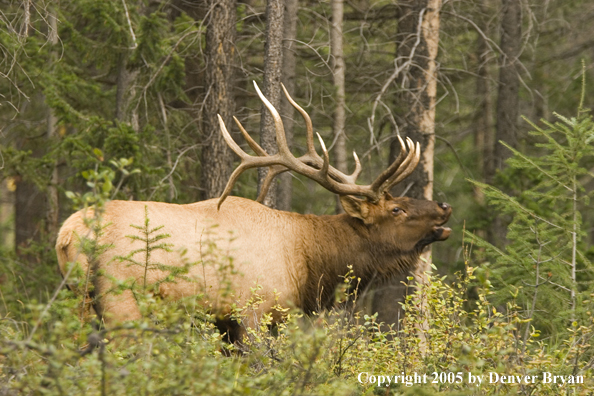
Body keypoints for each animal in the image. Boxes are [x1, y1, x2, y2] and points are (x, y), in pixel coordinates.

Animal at [56, 83, 448, 340]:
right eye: (397, 209)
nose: (443, 207)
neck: (309, 263)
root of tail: (67, 235)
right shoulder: (255, 311)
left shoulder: (224, 321)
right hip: (120, 298)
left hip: (77, 299)